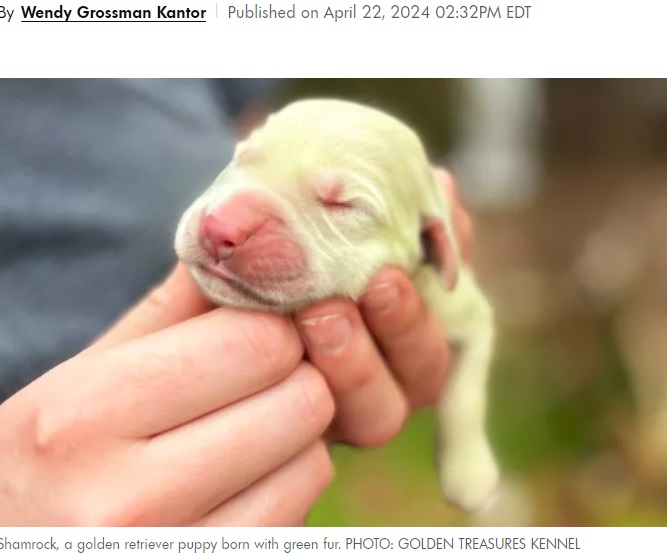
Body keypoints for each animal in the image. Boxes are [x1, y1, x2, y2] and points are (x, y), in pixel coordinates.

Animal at [175, 98, 498, 508]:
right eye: (244, 157)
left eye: (343, 204)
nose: (221, 228)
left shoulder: (462, 308)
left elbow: (466, 394)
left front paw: (470, 473)